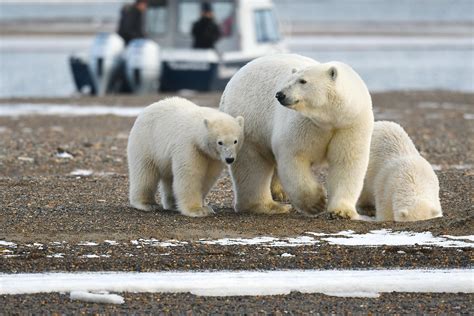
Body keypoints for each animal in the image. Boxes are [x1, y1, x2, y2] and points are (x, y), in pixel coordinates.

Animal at [219, 53, 374, 217]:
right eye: (289, 80)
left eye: (303, 81)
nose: (280, 94)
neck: (329, 119)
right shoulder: (305, 123)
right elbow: (295, 156)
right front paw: (317, 202)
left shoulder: (349, 124)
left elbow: (347, 161)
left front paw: (341, 211)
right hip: (249, 120)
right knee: (252, 165)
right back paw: (271, 206)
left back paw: (279, 194)